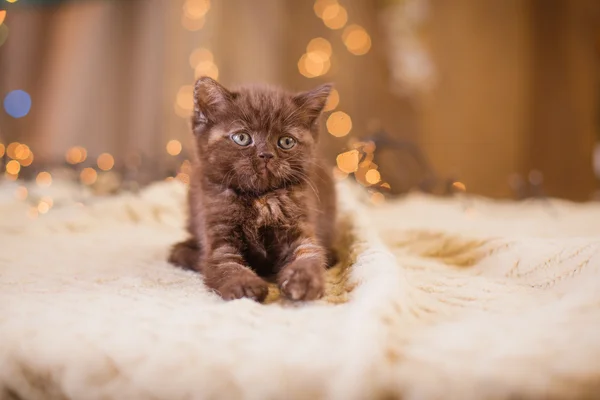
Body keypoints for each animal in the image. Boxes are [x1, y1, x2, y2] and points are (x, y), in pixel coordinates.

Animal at [169, 77, 338, 304]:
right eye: (242, 138)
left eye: (286, 141)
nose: (266, 155)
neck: (260, 198)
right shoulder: (219, 238)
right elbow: (227, 265)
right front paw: (245, 286)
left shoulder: (301, 228)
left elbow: (309, 254)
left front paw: (303, 280)